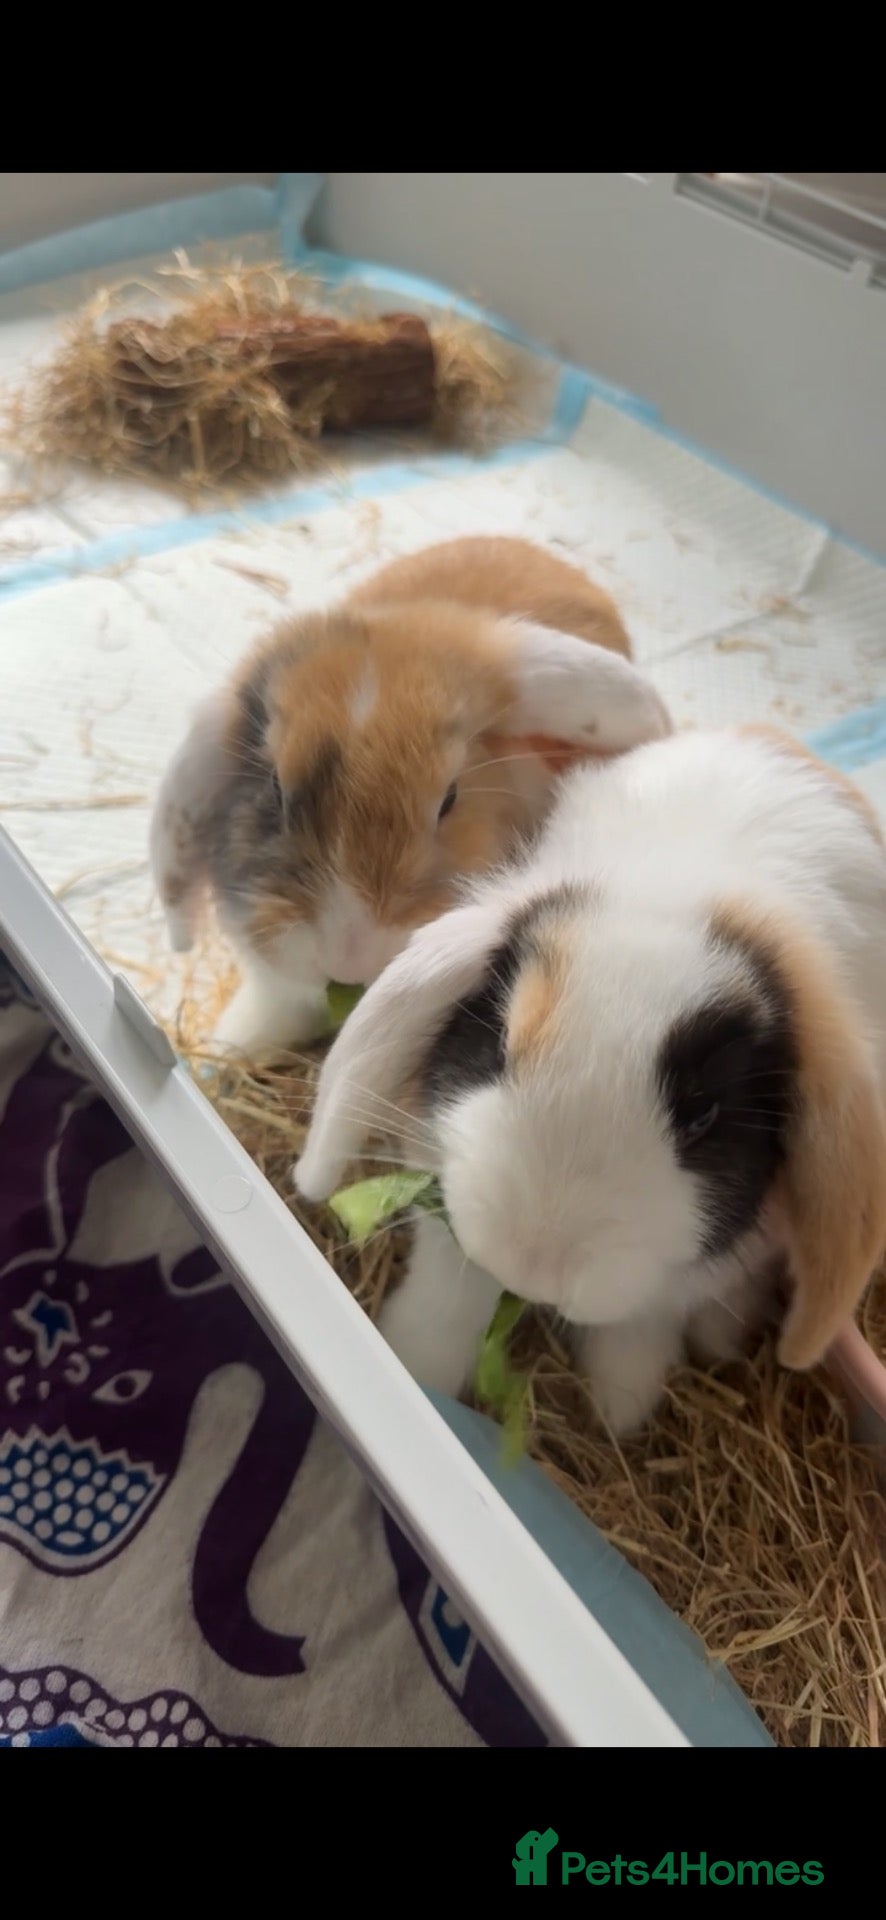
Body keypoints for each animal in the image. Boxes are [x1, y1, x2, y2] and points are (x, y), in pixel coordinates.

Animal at [294, 723, 886, 1437]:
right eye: (497, 1040)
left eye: (704, 1112)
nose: (533, 1264)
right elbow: (450, 1299)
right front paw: (414, 1368)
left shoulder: (670, 1291)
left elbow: (634, 1335)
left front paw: (618, 1415)